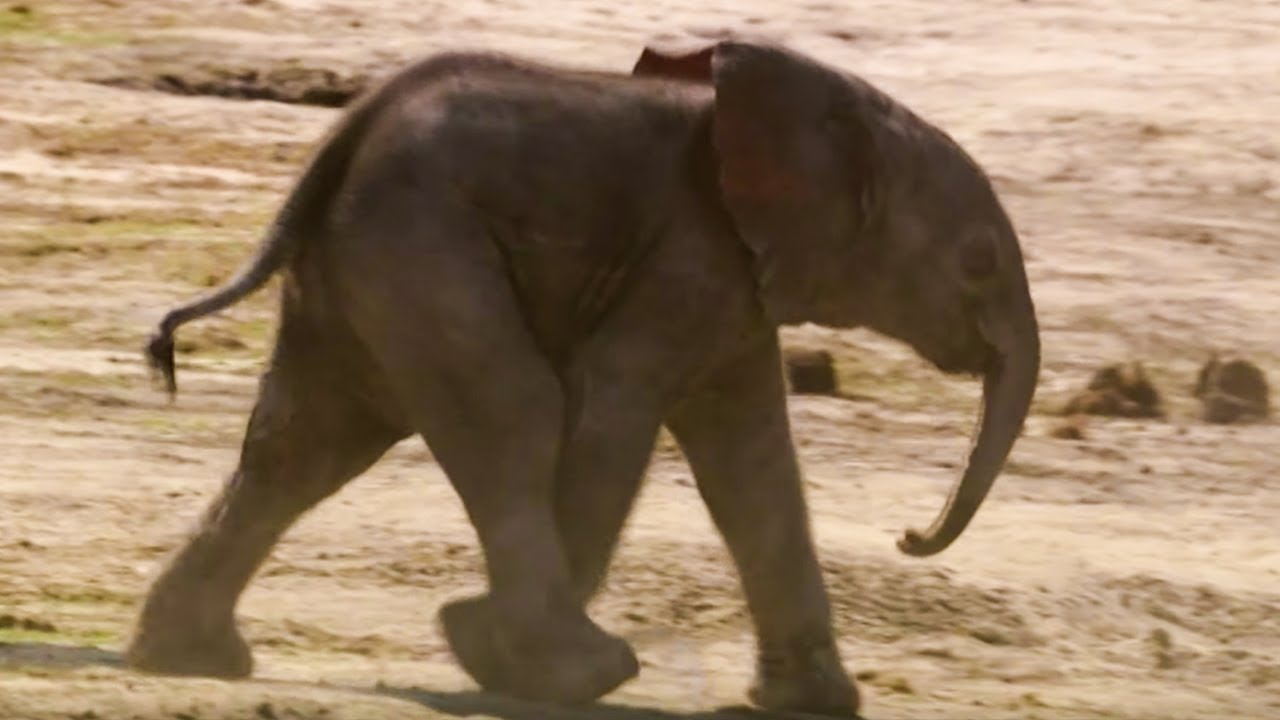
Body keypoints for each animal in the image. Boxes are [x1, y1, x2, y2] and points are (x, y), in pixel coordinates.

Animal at [126, 39, 1040, 718]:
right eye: (978, 261)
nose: (909, 536)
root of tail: (346, 135)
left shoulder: (736, 284)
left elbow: (753, 457)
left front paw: (816, 702)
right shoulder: (690, 251)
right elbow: (615, 409)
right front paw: (492, 652)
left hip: (362, 263)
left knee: (308, 443)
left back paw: (192, 658)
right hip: (421, 245)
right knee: (515, 410)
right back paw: (575, 670)